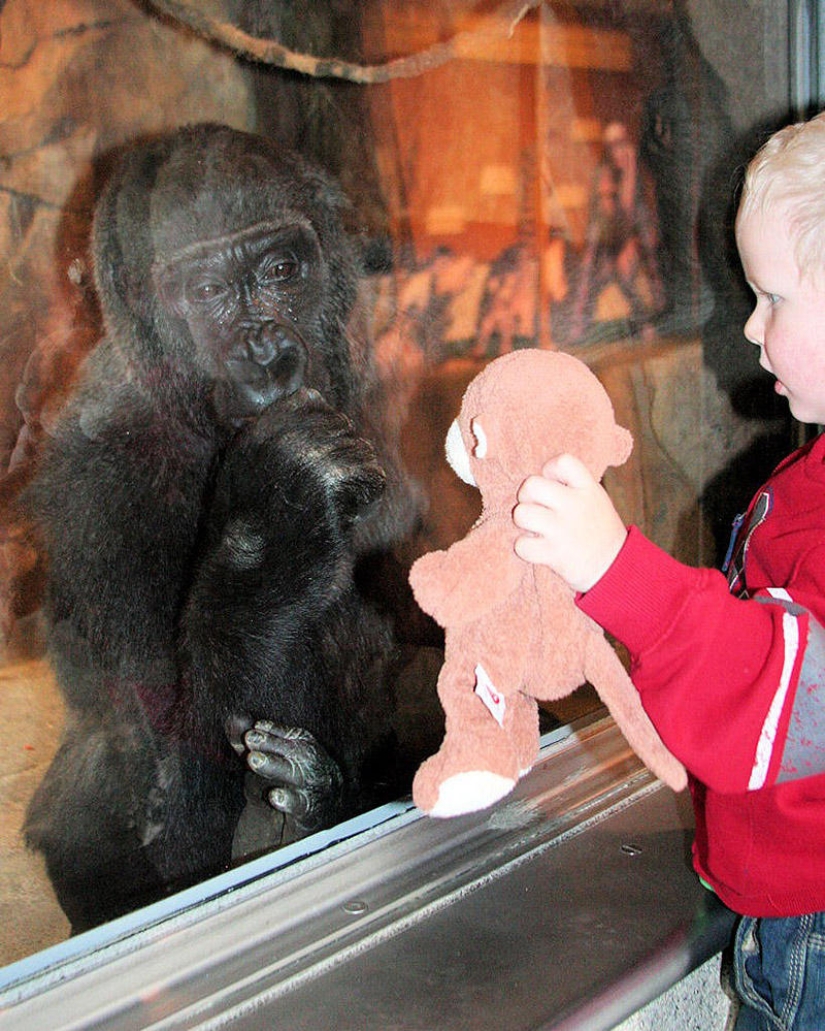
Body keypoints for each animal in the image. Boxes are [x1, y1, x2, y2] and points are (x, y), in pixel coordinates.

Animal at [22, 122, 416, 936]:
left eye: (281, 270)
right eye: (205, 292)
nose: (267, 357)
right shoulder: (92, 477)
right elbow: (166, 811)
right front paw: (272, 533)